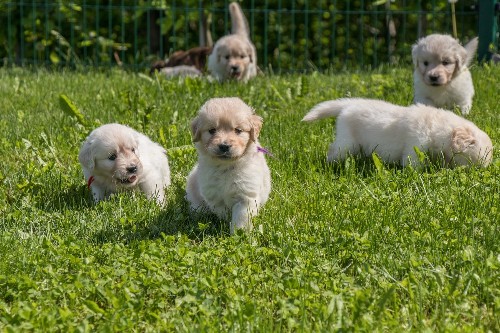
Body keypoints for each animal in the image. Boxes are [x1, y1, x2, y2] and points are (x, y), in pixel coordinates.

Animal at [186, 96, 272, 233]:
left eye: (238, 130)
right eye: (212, 130)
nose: (224, 146)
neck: (226, 167)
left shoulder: (245, 197)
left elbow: (241, 218)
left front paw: (240, 233)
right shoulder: (214, 196)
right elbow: (224, 212)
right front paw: (226, 223)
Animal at [302, 97, 494, 167]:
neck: (437, 127)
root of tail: (350, 104)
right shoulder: (415, 145)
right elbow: (414, 163)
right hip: (347, 142)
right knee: (334, 150)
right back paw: (331, 164)